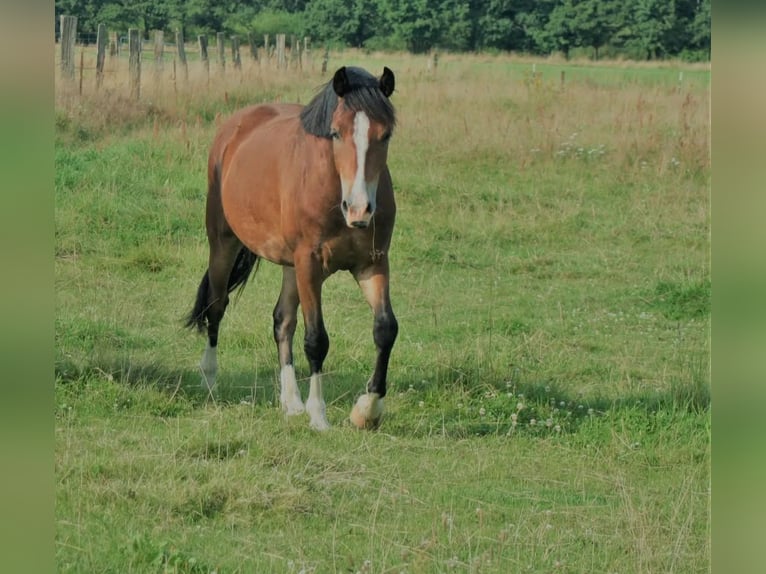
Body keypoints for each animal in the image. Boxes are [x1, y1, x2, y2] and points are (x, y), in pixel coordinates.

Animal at [187, 66, 402, 432]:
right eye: (336, 133)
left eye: (385, 135)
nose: (359, 209)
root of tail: (235, 127)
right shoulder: (310, 264)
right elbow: (316, 339)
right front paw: (319, 415)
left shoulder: (372, 263)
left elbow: (385, 328)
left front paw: (367, 411)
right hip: (224, 243)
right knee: (217, 306)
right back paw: (210, 378)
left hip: (291, 266)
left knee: (282, 321)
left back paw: (291, 402)